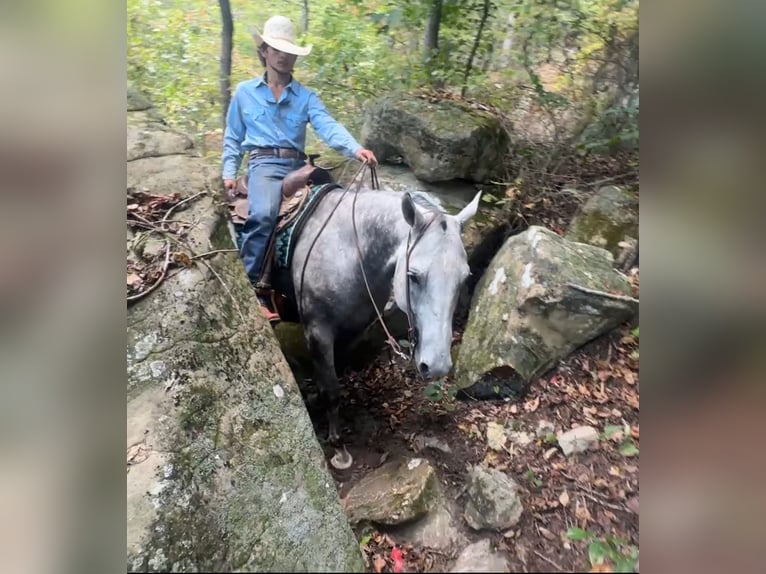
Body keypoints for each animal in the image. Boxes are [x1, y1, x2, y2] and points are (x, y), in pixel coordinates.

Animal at [234, 167, 482, 468]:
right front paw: (338, 446)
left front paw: (319, 400)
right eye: (413, 275)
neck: (349, 251)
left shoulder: (353, 328)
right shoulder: (318, 330)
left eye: (465, 277)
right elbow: (332, 388)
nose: (436, 366)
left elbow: (334, 375)